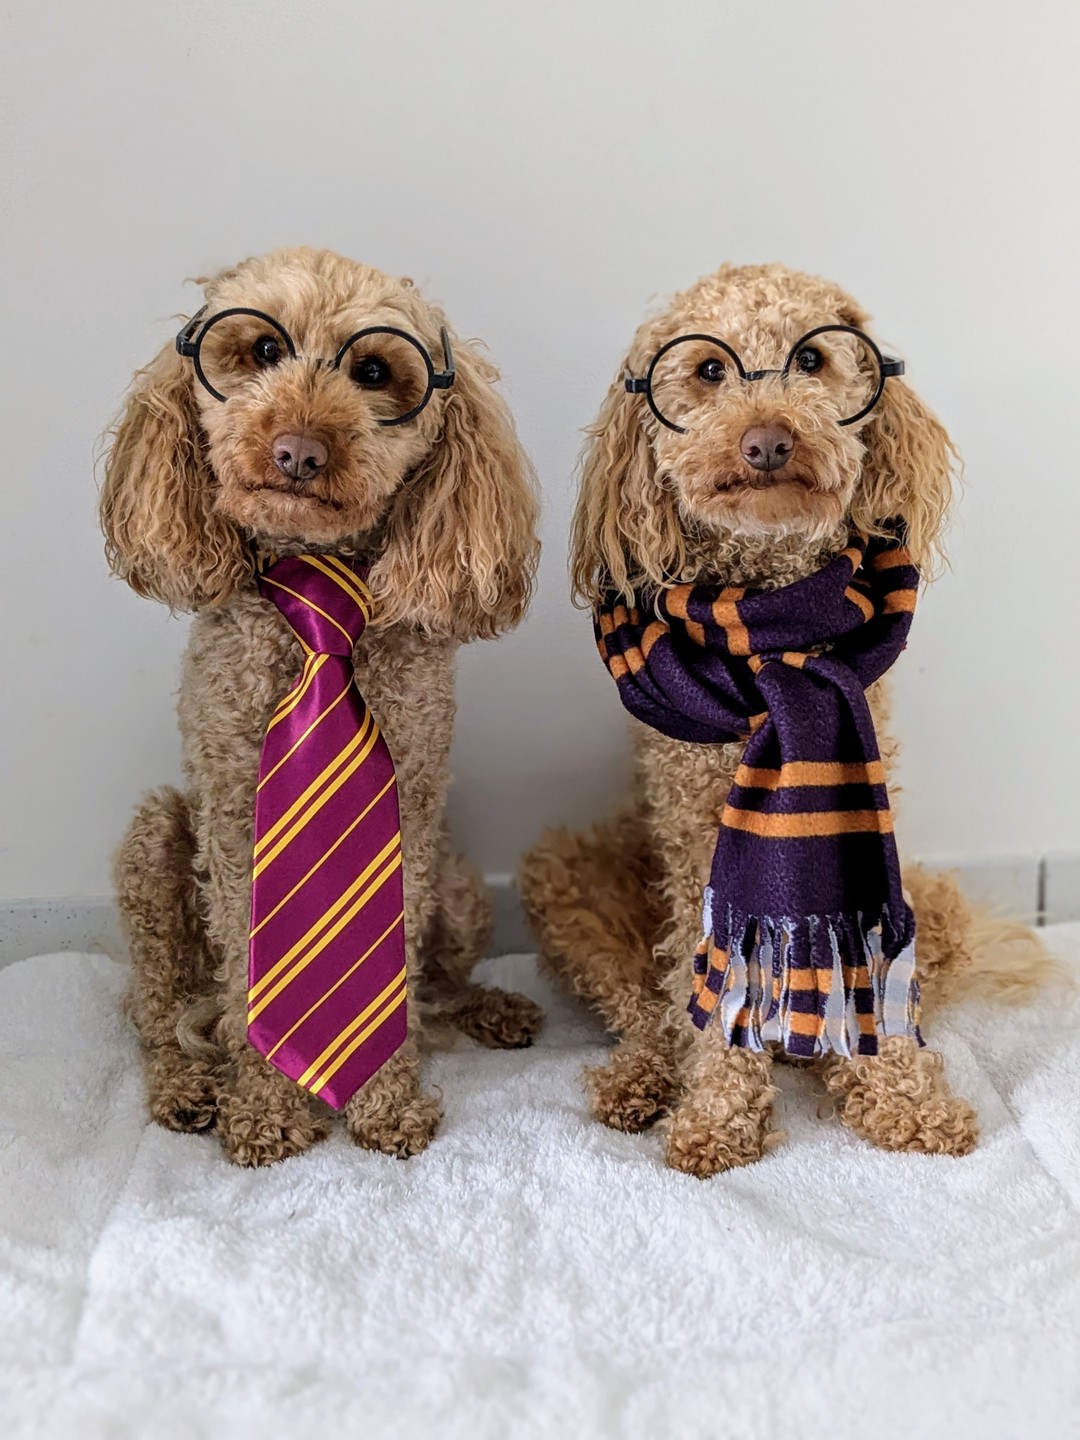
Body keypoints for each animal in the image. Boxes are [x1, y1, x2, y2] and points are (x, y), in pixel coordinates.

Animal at [102, 246, 542, 1166]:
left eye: (374, 371)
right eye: (263, 351)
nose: (298, 451)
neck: (319, 608)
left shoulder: (413, 806)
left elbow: (393, 964)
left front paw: (385, 1104)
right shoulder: (233, 813)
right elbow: (248, 976)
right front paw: (268, 1107)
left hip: (460, 886)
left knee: (439, 987)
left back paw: (491, 1009)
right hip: (156, 845)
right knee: (158, 1011)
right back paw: (187, 1087)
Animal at [520, 261, 1049, 1178]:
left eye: (812, 360)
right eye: (708, 370)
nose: (767, 440)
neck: (771, 644)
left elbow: (868, 963)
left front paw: (902, 1097)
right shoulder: (701, 844)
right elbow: (712, 982)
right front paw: (716, 1116)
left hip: (938, 902)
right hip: (568, 882)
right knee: (648, 1003)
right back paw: (643, 1080)